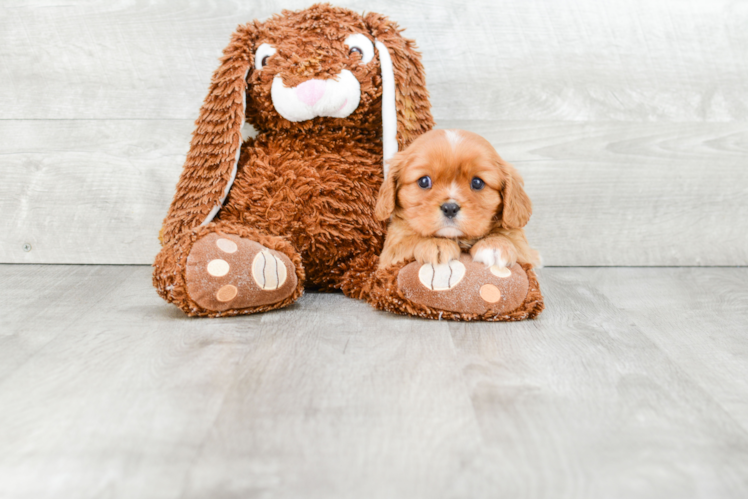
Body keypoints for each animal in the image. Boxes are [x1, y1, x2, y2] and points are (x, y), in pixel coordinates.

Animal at [376, 129, 540, 270]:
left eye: (477, 183)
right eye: (423, 181)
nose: (450, 208)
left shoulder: (525, 252)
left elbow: (511, 237)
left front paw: (495, 245)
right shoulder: (390, 254)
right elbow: (409, 240)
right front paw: (436, 244)